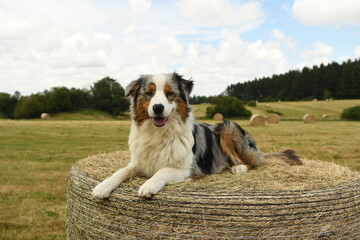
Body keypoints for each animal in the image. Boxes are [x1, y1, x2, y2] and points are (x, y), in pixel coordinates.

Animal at [92, 72, 300, 199]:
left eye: (170, 93)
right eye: (149, 93)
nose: (158, 108)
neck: (159, 134)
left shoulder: (187, 168)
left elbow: (162, 170)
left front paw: (149, 185)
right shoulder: (138, 163)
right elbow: (120, 172)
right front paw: (102, 186)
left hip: (227, 128)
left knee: (254, 163)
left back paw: (238, 168)